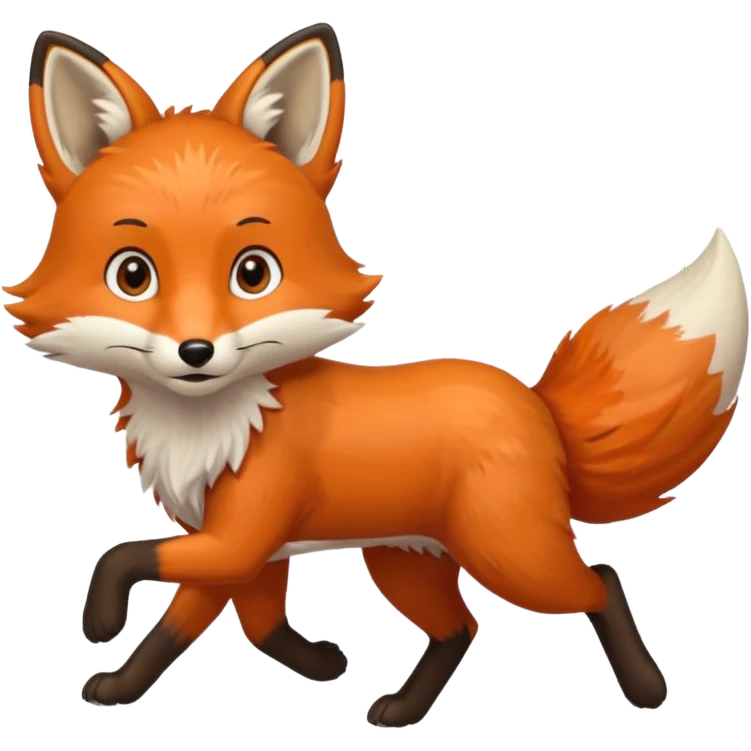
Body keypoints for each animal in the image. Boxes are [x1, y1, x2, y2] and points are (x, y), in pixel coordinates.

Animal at [8, 24, 750, 725]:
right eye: (133, 275)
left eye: (253, 273)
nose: (197, 351)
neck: (212, 425)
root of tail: (536, 401)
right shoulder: (246, 549)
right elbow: (226, 626)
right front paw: (308, 663)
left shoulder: (239, 534)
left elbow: (130, 558)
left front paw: (102, 619)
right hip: (405, 559)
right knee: (461, 628)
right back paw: (402, 710)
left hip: (508, 553)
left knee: (599, 579)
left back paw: (646, 687)